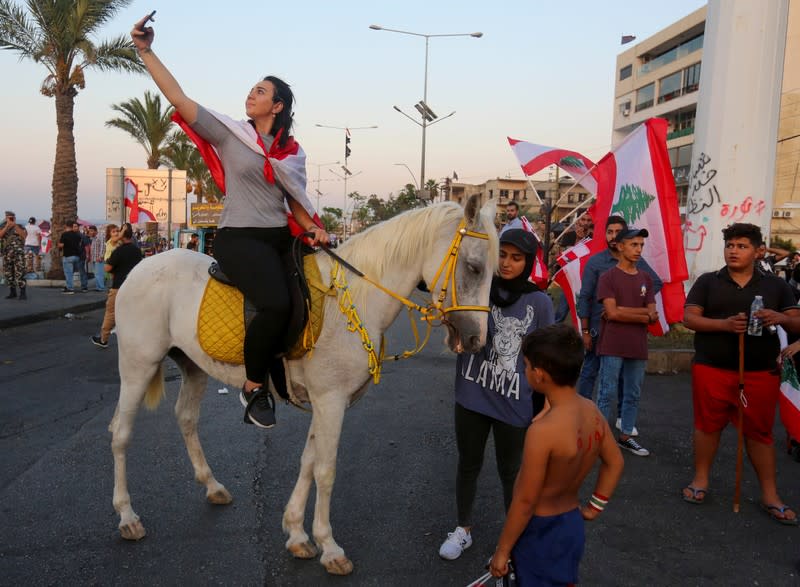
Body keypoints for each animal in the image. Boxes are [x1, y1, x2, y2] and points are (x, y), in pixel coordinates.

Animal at [109, 195, 496, 576]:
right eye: (474, 267)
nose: (476, 340)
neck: (358, 297)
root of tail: (140, 268)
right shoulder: (331, 401)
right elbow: (326, 470)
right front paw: (329, 546)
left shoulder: (325, 403)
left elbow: (308, 461)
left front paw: (296, 532)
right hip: (138, 366)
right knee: (121, 433)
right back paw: (127, 516)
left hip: (192, 366)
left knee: (186, 418)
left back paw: (212, 485)